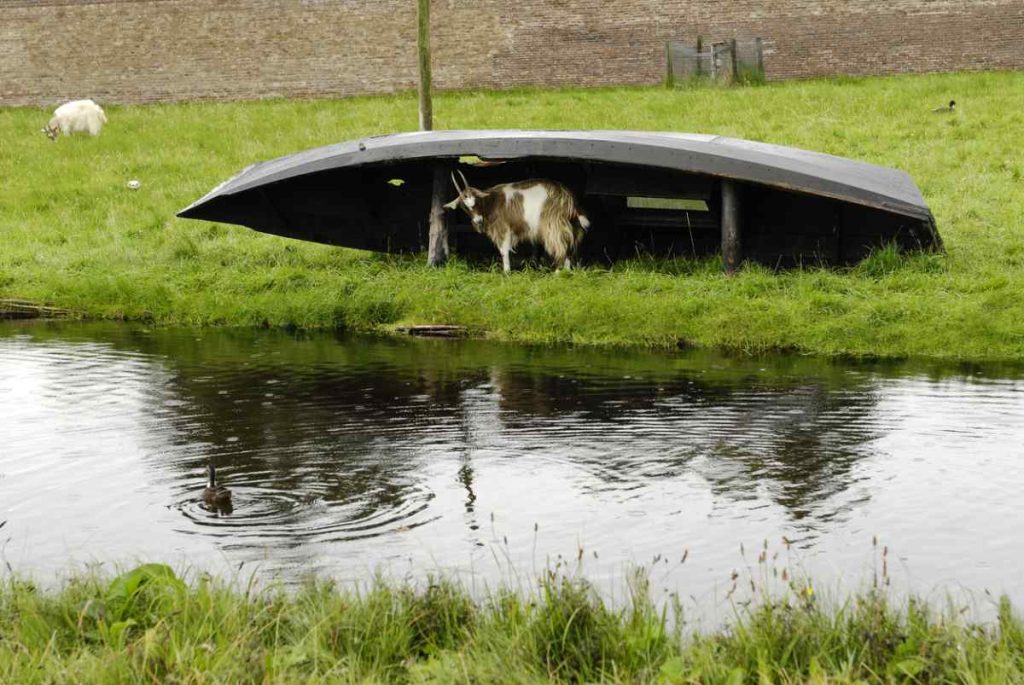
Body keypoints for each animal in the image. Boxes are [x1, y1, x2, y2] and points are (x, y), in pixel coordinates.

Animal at [444, 170, 589, 272]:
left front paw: (506, 272)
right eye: (464, 207)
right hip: (571, 225)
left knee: (561, 246)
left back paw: (558, 273)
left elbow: (504, 250)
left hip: (553, 224)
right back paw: (566, 271)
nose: (478, 220)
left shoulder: (503, 228)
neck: (491, 203)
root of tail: (569, 198)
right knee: (570, 244)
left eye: (477, 201)